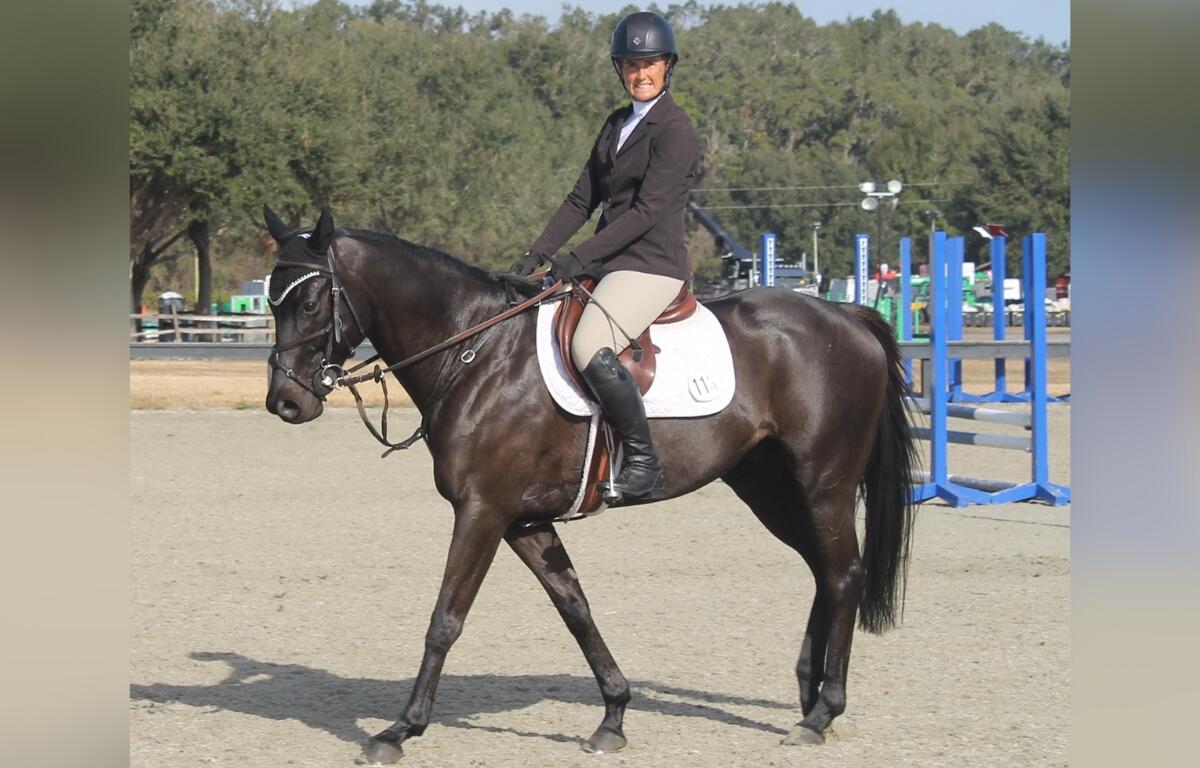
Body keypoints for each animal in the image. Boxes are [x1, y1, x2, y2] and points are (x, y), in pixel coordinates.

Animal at [263, 207, 917, 763]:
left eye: (313, 300)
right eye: (271, 299)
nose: (285, 403)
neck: (476, 352)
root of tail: (846, 317)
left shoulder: (482, 511)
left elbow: (445, 618)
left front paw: (400, 729)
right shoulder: (523, 521)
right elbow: (575, 608)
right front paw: (613, 716)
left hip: (823, 484)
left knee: (844, 573)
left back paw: (823, 712)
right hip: (769, 489)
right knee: (823, 571)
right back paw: (808, 697)